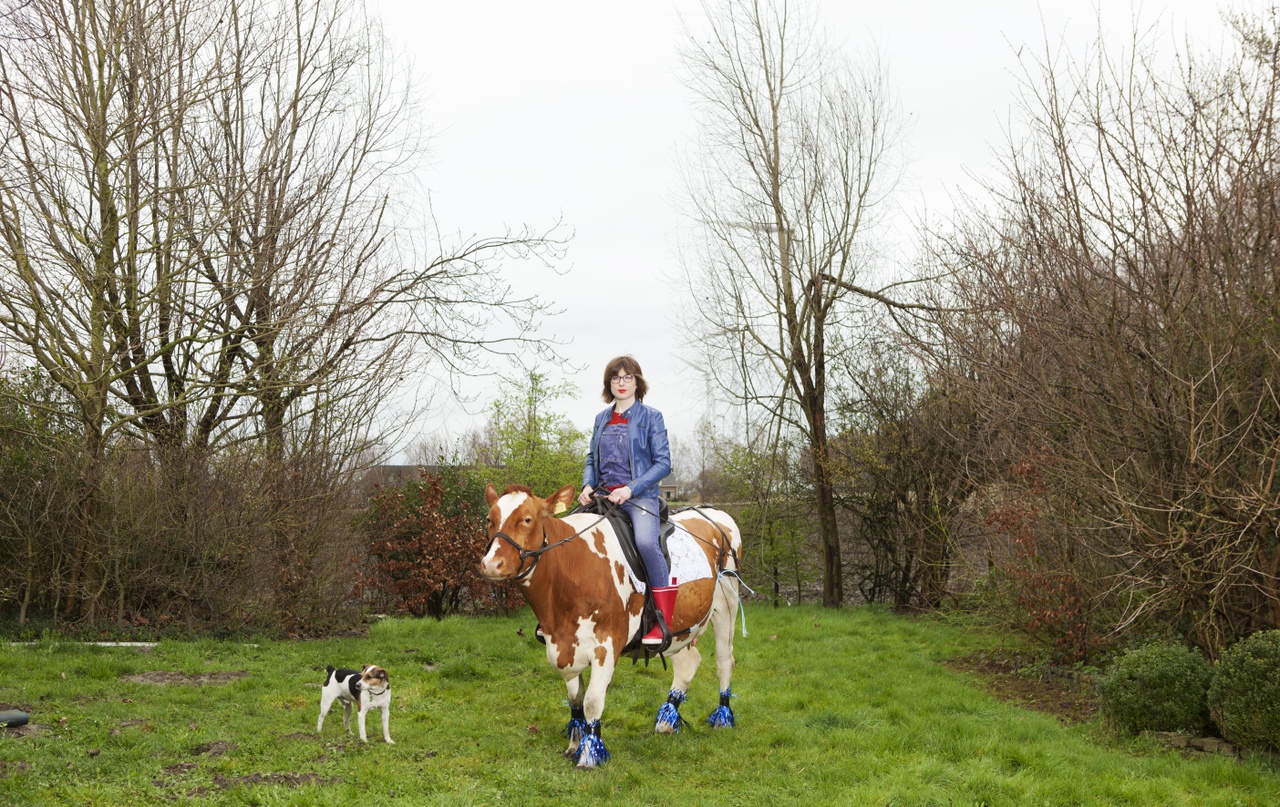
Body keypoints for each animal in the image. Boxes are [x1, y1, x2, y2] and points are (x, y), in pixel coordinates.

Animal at [478, 484, 742, 768]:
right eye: (489, 519)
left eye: (527, 519)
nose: (491, 564)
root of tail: (714, 513)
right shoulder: (565, 643)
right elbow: (575, 699)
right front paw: (574, 745)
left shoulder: (606, 645)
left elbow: (593, 701)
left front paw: (589, 755)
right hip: (678, 627)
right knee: (688, 663)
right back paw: (666, 722)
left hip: (726, 603)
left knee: (725, 660)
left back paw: (722, 717)